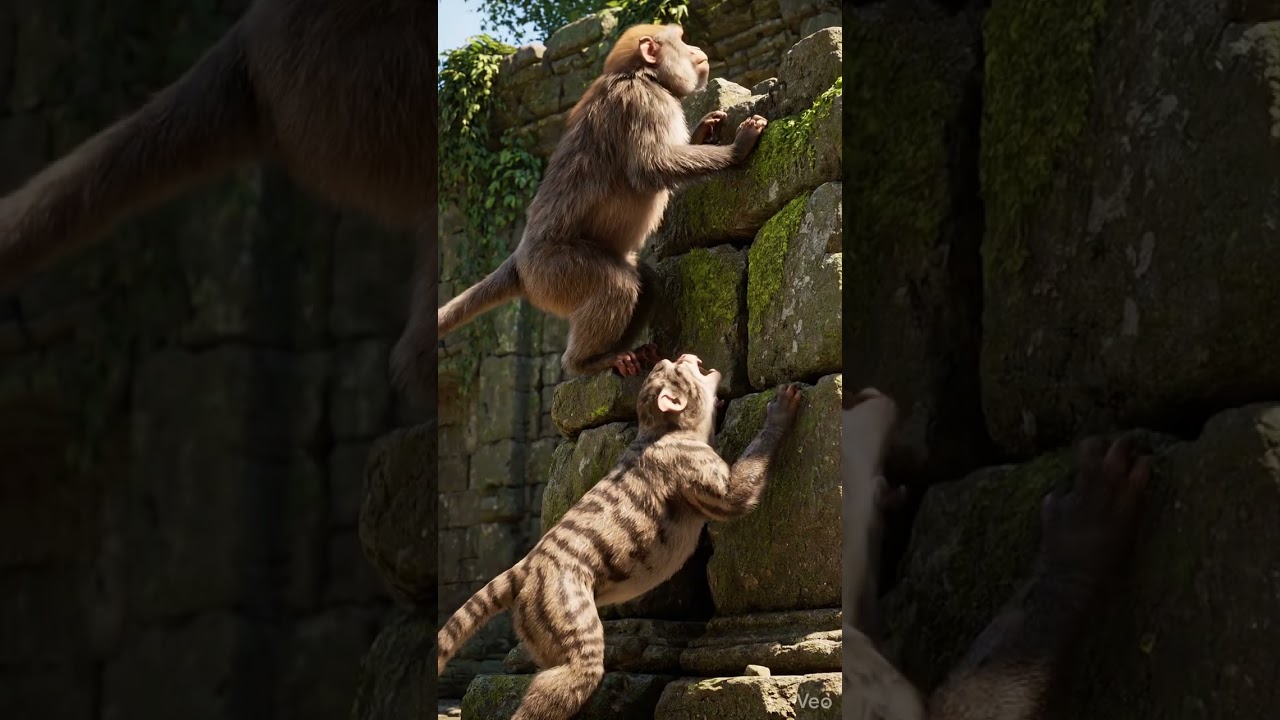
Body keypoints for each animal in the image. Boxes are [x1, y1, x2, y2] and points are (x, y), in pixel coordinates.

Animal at [436, 24, 770, 378]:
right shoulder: (645, 103)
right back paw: (587, 361)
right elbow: (651, 167)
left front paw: (703, 130)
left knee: (644, 280)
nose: (696, 50)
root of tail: (520, 260)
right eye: (680, 40)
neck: (643, 75)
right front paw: (737, 149)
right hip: (552, 273)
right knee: (616, 286)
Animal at [437, 354, 802, 720]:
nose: (685, 356)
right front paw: (779, 412)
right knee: (576, 670)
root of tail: (527, 564)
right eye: (675, 369)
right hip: (562, 609)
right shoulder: (696, 466)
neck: (662, 427)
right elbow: (735, 496)